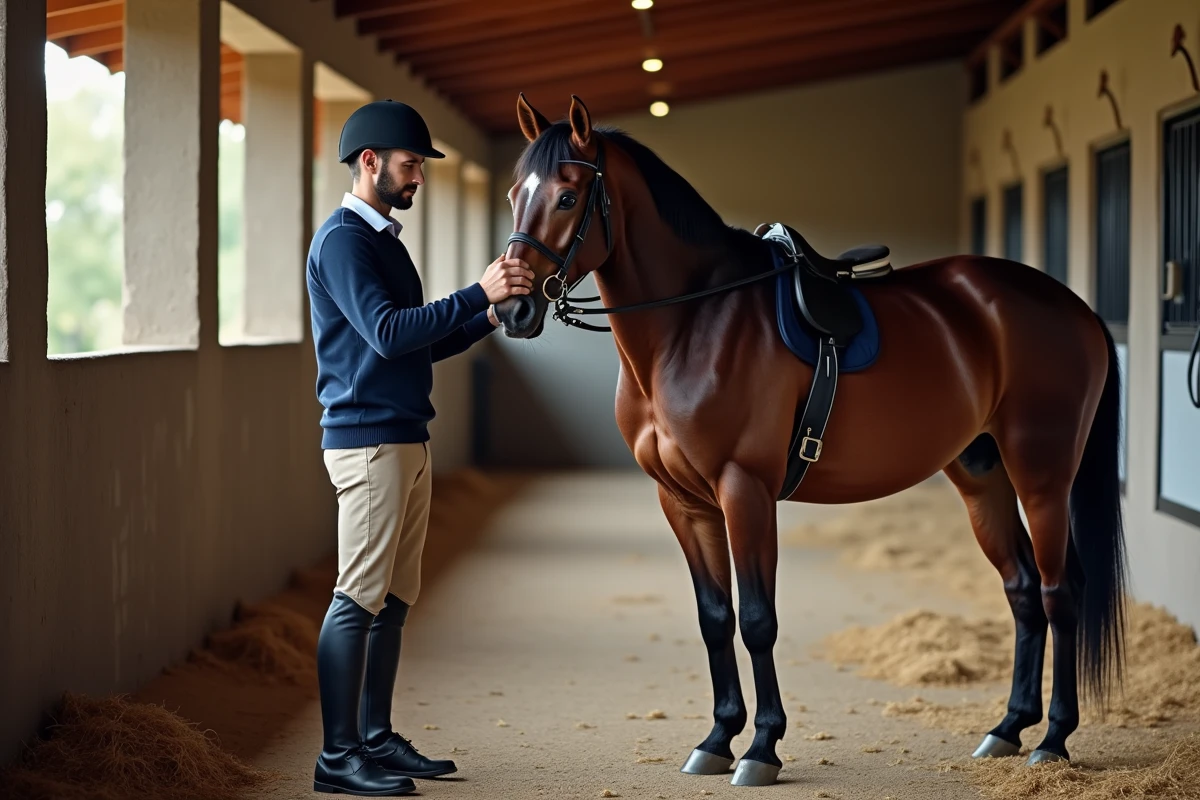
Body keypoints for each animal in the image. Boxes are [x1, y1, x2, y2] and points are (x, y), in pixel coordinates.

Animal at [494, 93, 1126, 787]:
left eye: (567, 196)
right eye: (514, 194)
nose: (513, 310)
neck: (694, 323)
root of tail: (1074, 307)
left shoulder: (744, 490)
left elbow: (756, 619)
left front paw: (762, 748)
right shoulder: (683, 502)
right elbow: (715, 619)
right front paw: (717, 738)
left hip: (1042, 474)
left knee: (1060, 591)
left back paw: (1054, 739)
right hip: (981, 475)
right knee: (1022, 593)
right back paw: (1009, 728)